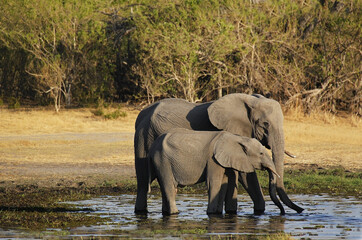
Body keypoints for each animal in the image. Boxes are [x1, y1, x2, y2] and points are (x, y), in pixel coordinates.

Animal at [148, 129, 286, 216]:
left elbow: (224, 184)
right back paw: (175, 213)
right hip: (162, 161)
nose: (282, 212)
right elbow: (213, 182)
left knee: (164, 188)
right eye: (261, 153)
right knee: (169, 187)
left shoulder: (224, 161)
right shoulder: (213, 160)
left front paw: (218, 213)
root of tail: (153, 146)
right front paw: (212, 213)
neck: (237, 138)